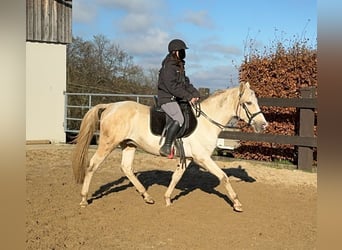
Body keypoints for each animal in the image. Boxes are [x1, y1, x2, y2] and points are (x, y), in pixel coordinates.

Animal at [72, 81, 268, 212]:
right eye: (248, 103)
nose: (263, 125)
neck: (206, 122)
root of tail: (111, 106)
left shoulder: (187, 158)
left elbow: (176, 177)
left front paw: (167, 199)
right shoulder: (203, 158)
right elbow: (224, 177)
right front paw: (237, 203)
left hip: (129, 145)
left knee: (126, 168)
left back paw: (147, 197)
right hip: (107, 144)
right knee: (92, 166)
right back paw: (83, 199)